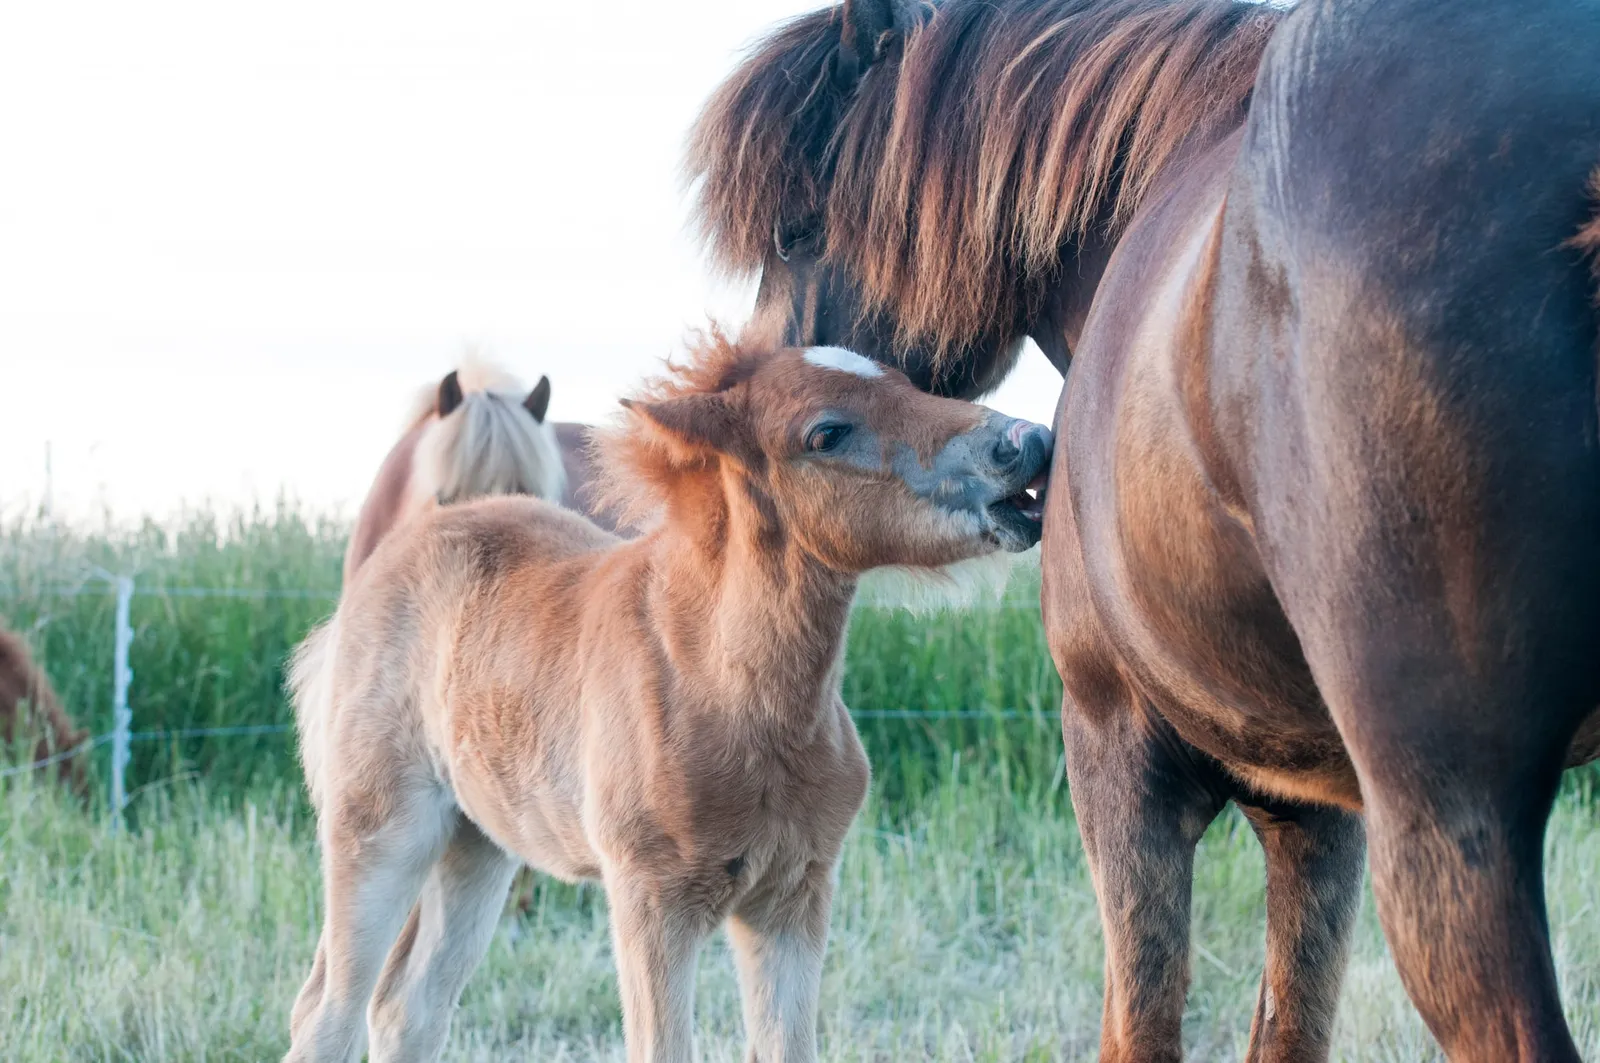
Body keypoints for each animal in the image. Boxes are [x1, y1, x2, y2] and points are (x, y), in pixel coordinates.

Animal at [689, 1, 1600, 1058]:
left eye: (798, 231)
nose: (739, 420)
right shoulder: (1317, 810)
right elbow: (1289, 1024)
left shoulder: (1116, 754)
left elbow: (1142, 1019)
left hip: (1451, 823)